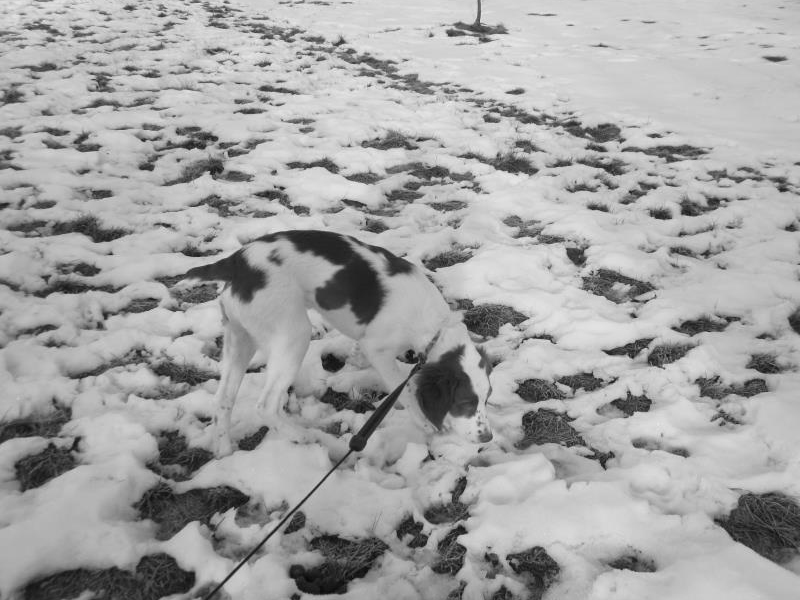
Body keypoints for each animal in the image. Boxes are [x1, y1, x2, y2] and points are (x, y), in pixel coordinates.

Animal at [184, 229, 493, 456]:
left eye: (486, 399)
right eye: (465, 402)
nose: (488, 437)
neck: (433, 324)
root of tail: (238, 261)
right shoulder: (379, 350)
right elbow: (403, 388)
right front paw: (424, 421)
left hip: (239, 336)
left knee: (223, 398)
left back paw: (224, 449)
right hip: (293, 333)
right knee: (265, 405)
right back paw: (299, 435)